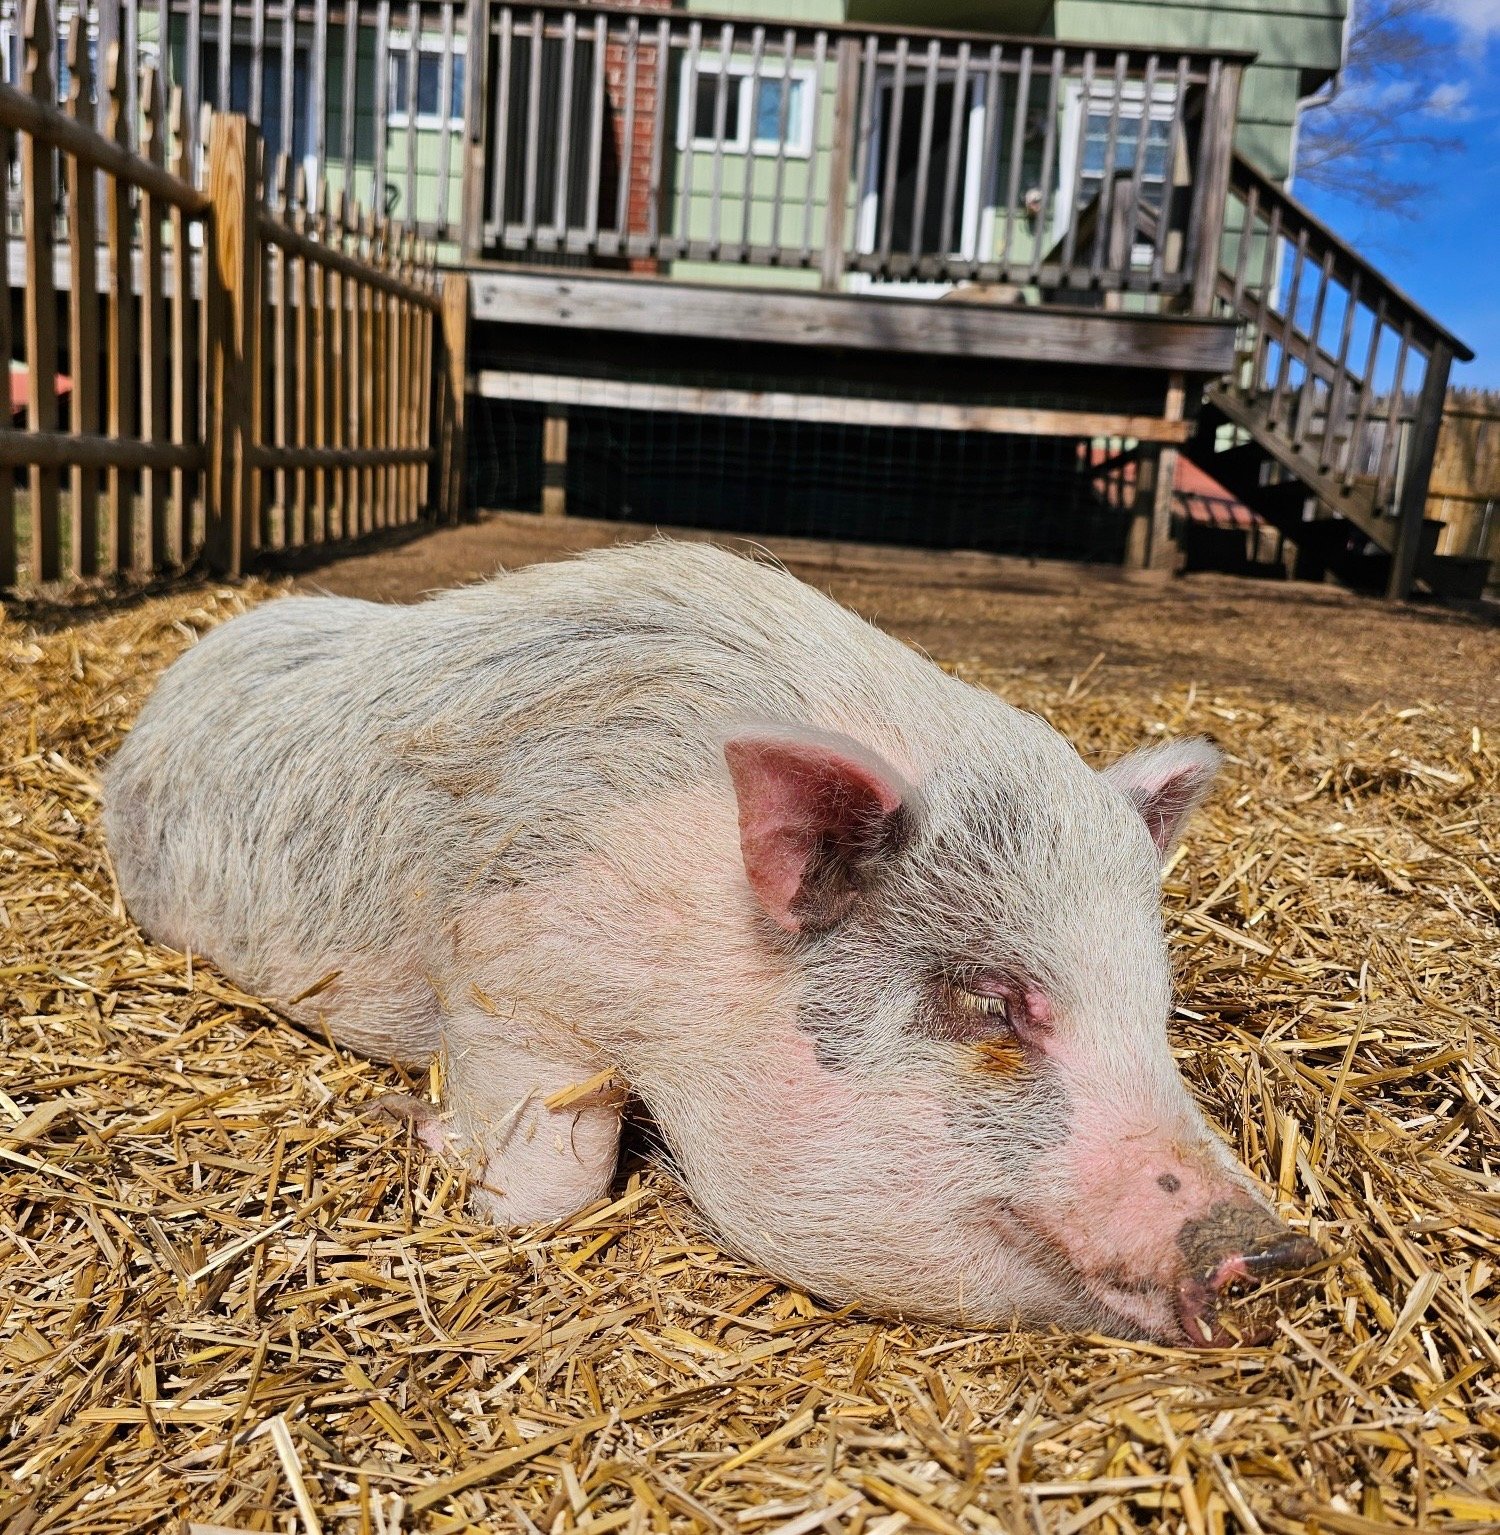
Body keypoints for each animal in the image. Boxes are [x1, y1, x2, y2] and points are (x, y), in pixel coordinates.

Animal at [103, 540, 1318, 1345]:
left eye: (1157, 1003)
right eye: (990, 998)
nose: (1276, 1244)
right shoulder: (501, 973)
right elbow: (551, 1184)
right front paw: (414, 1120)